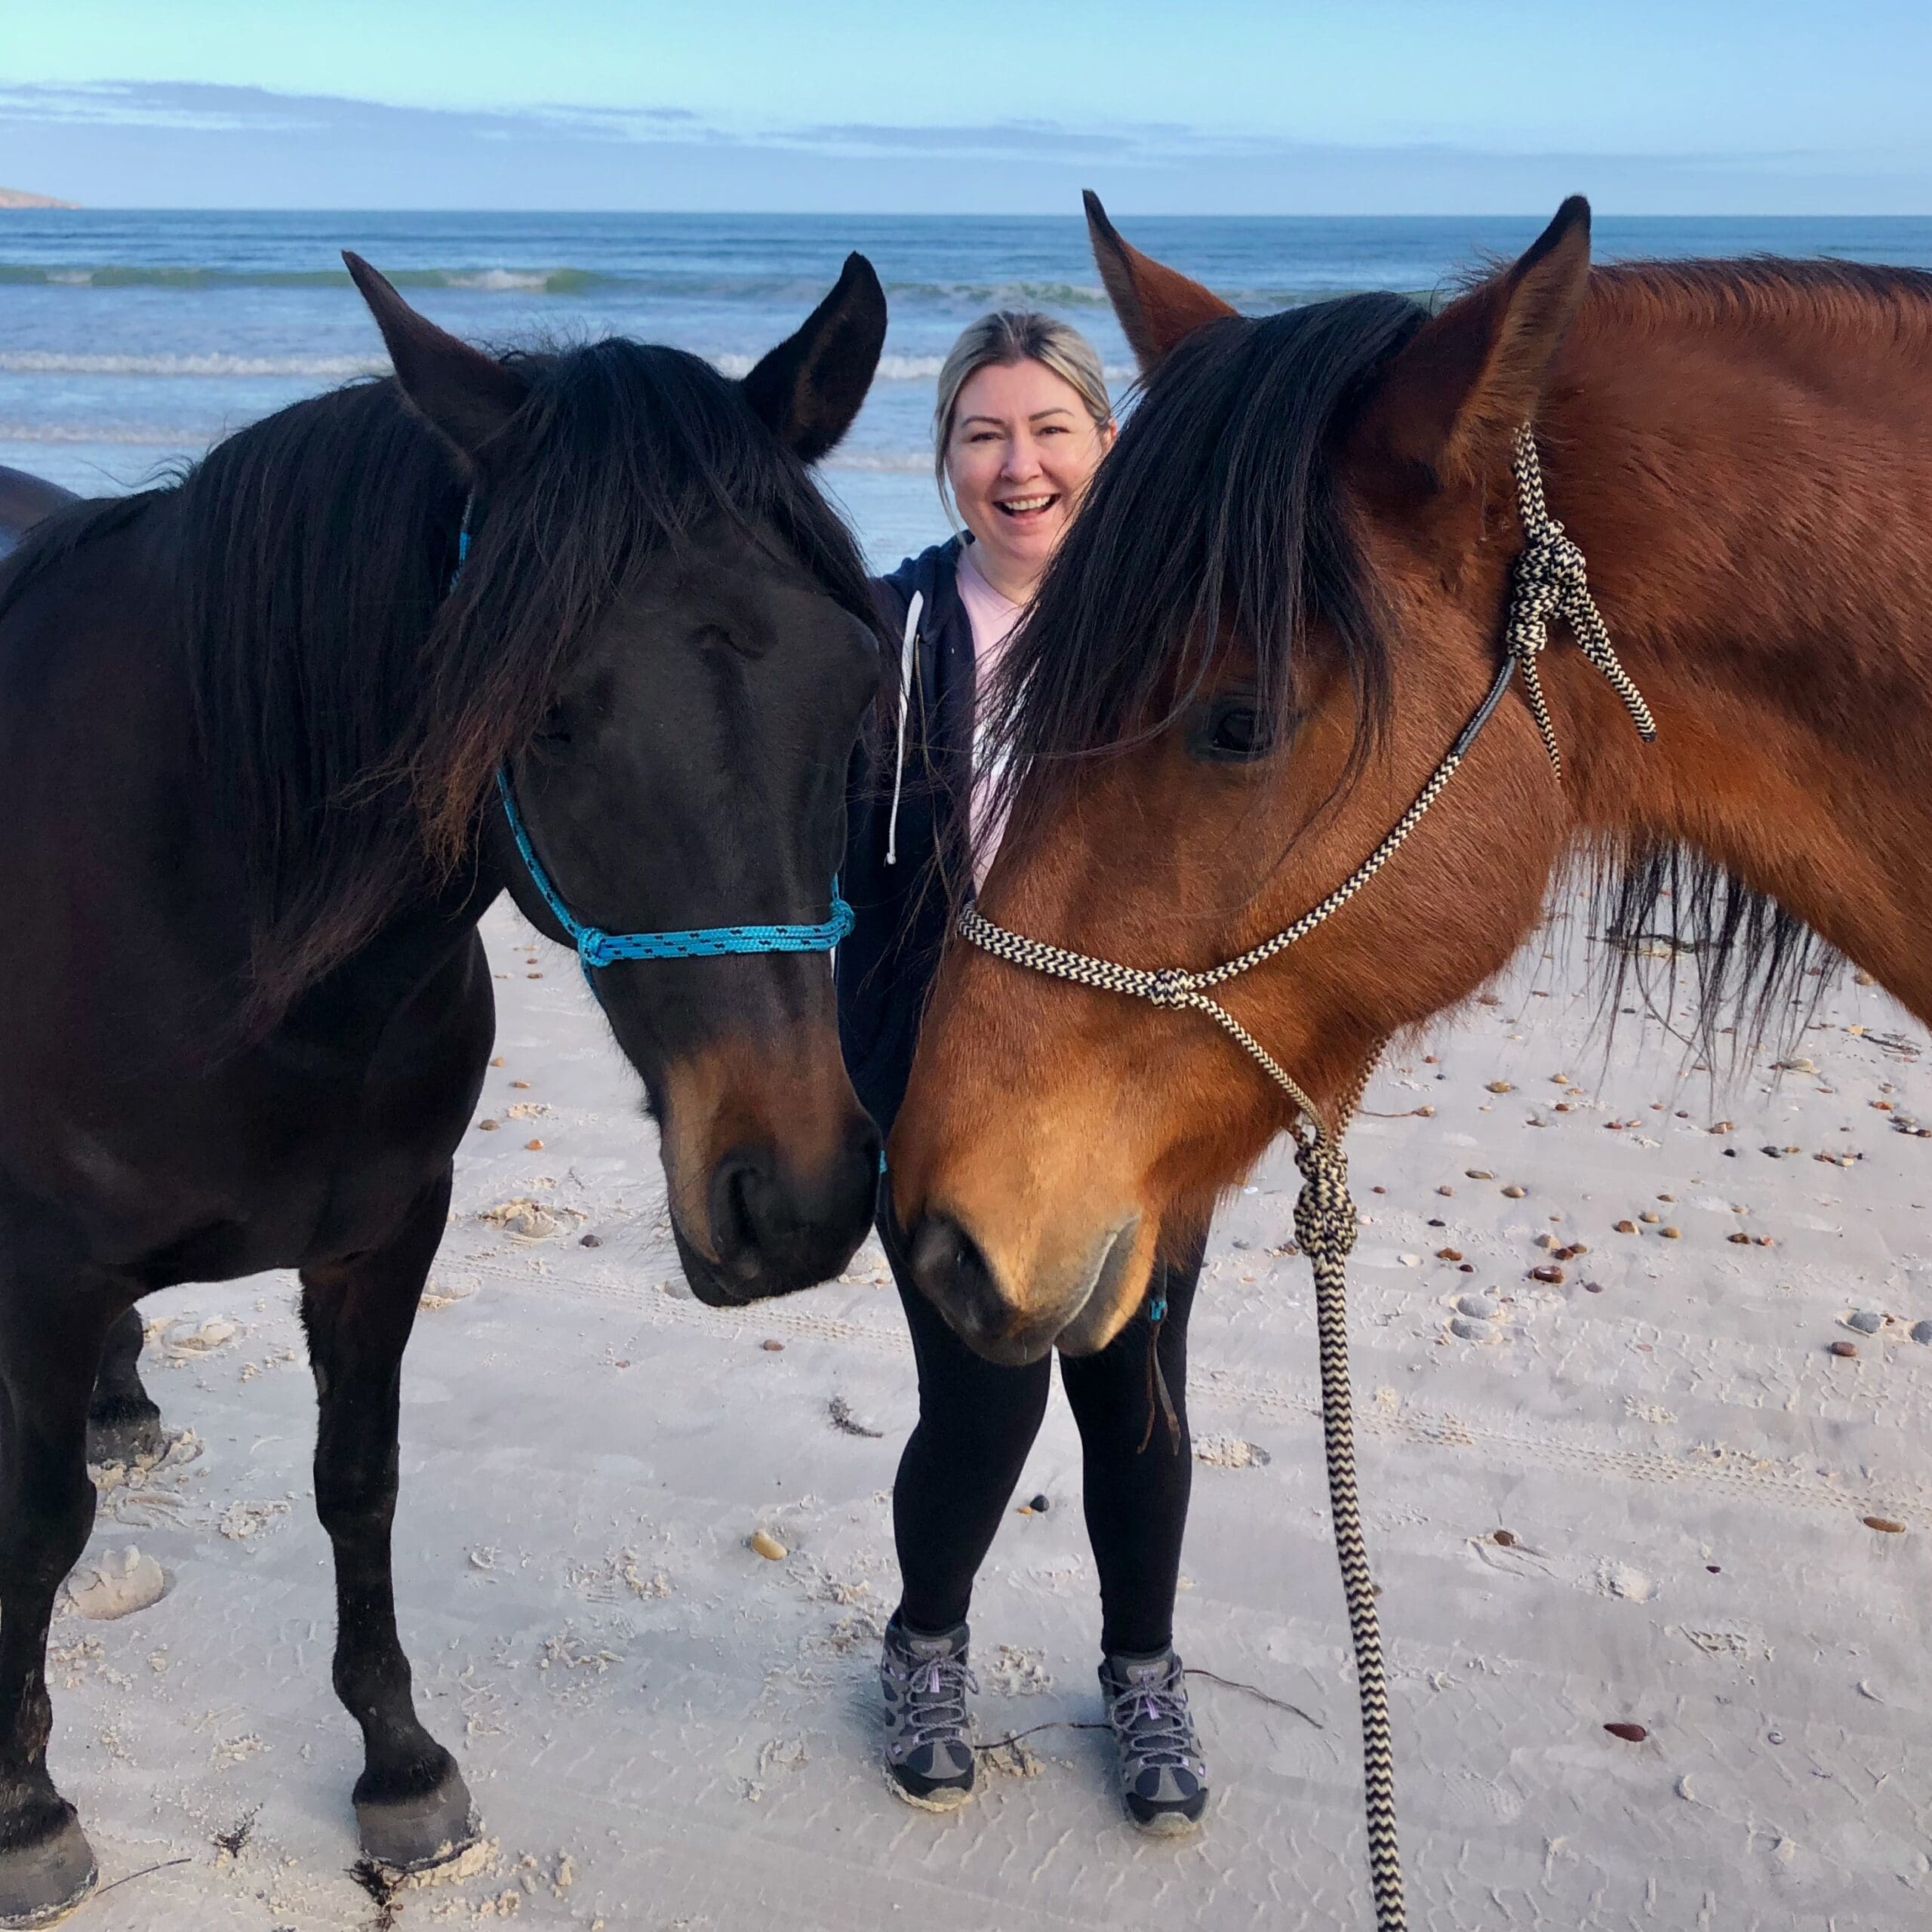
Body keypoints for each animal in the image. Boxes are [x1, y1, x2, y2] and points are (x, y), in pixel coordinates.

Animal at [0, 260, 884, 1932]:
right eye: (541, 711)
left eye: (849, 685)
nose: (794, 1201)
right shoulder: (44, 1268)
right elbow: (38, 1521)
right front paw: (26, 1803)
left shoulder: (384, 1234)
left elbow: (360, 1482)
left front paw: (399, 1761)